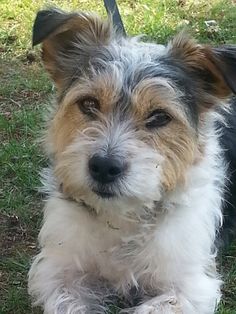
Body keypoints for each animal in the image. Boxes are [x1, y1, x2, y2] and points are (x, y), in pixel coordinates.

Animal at [28, 6, 236, 314]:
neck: (123, 216)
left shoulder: (189, 286)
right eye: (88, 103)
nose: (104, 167)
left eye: (160, 116)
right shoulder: (59, 273)